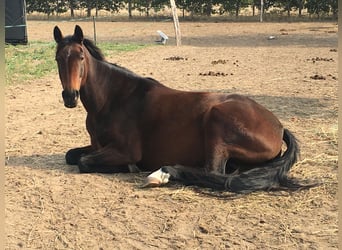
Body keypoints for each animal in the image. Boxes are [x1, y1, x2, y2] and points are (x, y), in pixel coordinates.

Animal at [53, 24, 312, 193]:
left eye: (80, 57)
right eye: (57, 59)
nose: (70, 96)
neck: (113, 99)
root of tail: (278, 126)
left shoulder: (125, 150)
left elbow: (84, 161)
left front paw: (129, 167)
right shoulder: (98, 145)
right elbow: (72, 155)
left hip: (216, 120)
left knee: (213, 172)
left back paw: (162, 174)